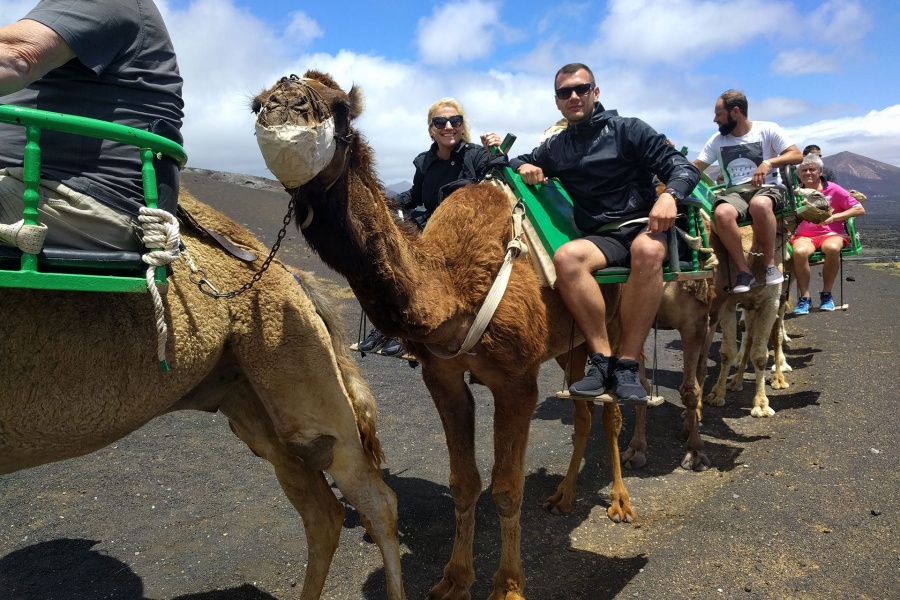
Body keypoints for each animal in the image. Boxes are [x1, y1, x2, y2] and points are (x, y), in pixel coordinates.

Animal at [250, 72, 636, 600]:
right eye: (255, 104)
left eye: (341, 108)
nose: (282, 104)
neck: (451, 289)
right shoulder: (444, 376)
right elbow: (463, 482)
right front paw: (453, 579)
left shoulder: (517, 379)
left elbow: (507, 489)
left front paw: (508, 586)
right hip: (569, 343)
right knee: (581, 409)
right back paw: (563, 496)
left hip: (612, 320)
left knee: (610, 408)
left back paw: (619, 501)